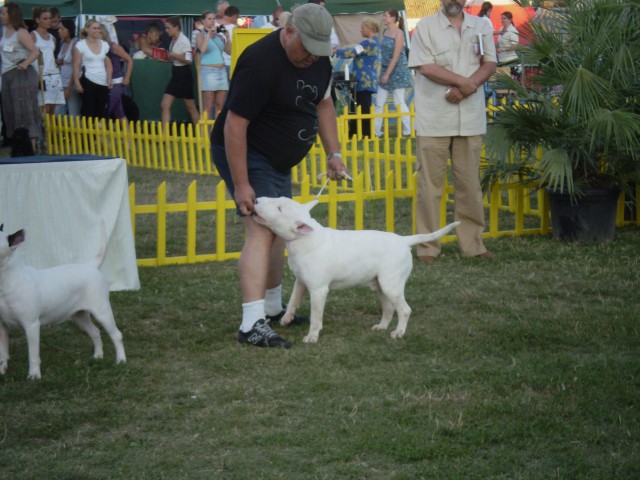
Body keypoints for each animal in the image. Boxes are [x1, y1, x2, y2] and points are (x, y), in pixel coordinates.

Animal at [0, 225, 126, 378]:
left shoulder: (31, 325)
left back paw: (121, 360)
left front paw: (34, 375)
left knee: (116, 335)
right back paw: (98, 356)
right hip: (79, 316)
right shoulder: (2, 327)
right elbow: (3, 353)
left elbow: (33, 354)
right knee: (95, 332)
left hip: (102, 311)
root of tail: (90, 265)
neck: (7, 280)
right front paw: (2, 369)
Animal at [254, 197, 460, 344]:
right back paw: (381, 326)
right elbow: (293, 300)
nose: (255, 200)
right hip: (380, 285)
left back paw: (398, 332)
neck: (304, 239)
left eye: (279, 208)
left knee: (404, 310)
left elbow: (316, 316)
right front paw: (286, 319)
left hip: (391, 284)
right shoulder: (301, 281)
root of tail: (404, 240)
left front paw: (312, 336)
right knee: (389, 308)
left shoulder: (319, 290)